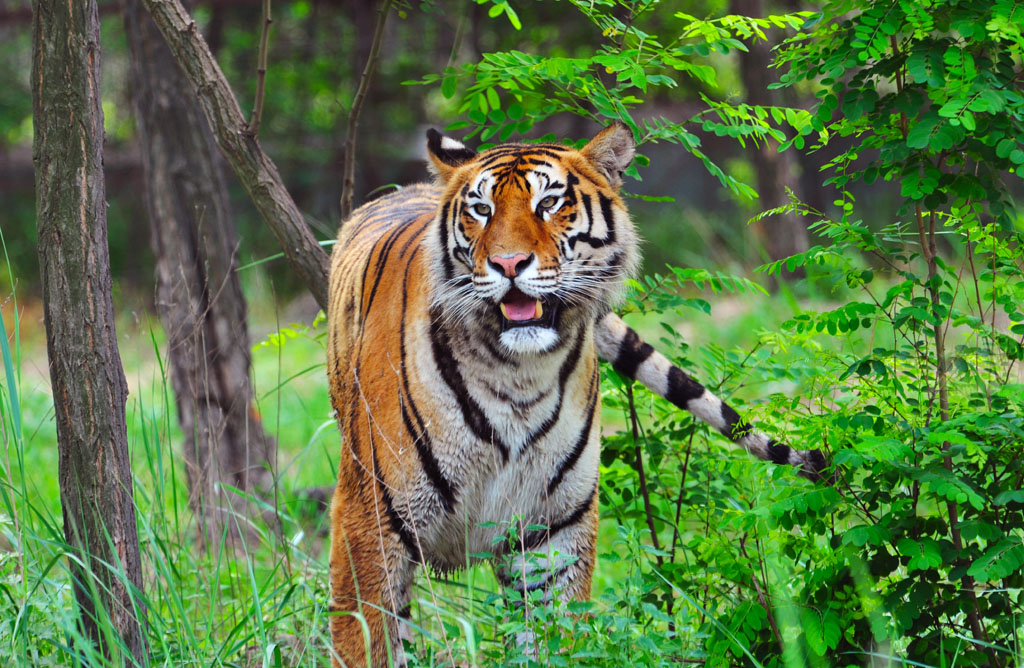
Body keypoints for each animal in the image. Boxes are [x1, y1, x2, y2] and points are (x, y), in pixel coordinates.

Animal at [327, 122, 831, 663]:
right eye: (481, 209)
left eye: (549, 202)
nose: (508, 263)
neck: (517, 375)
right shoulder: (368, 523)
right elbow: (364, 641)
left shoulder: (553, 529)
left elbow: (555, 637)